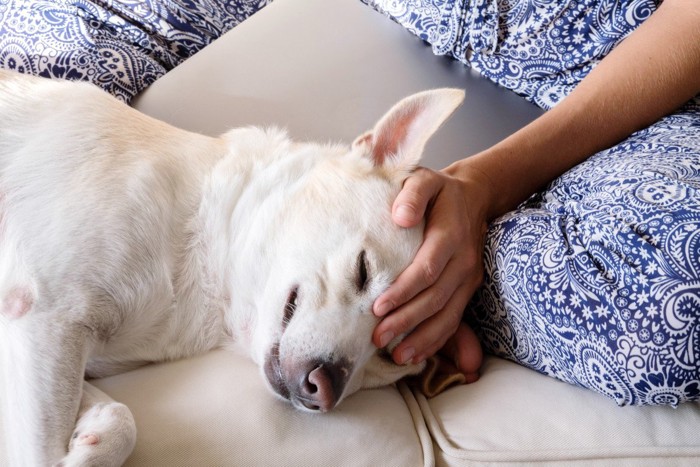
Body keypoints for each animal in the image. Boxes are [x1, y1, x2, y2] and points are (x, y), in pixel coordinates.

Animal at [0, 70, 464, 467]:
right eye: (363, 271)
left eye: (390, 355)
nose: (326, 387)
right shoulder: (48, 318)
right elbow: (41, 455)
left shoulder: (37, 340)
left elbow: (119, 418)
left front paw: (91, 441)